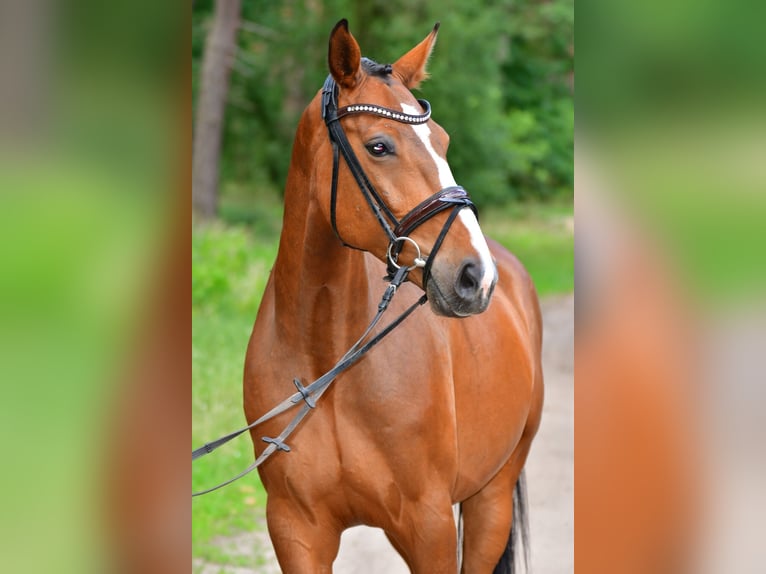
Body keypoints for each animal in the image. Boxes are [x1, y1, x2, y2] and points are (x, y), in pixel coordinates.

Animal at [246, 20, 544, 572]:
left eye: (442, 140)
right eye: (380, 146)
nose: (475, 276)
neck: (330, 368)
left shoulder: (429, 527)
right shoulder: (296, 529)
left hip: (492, 496)